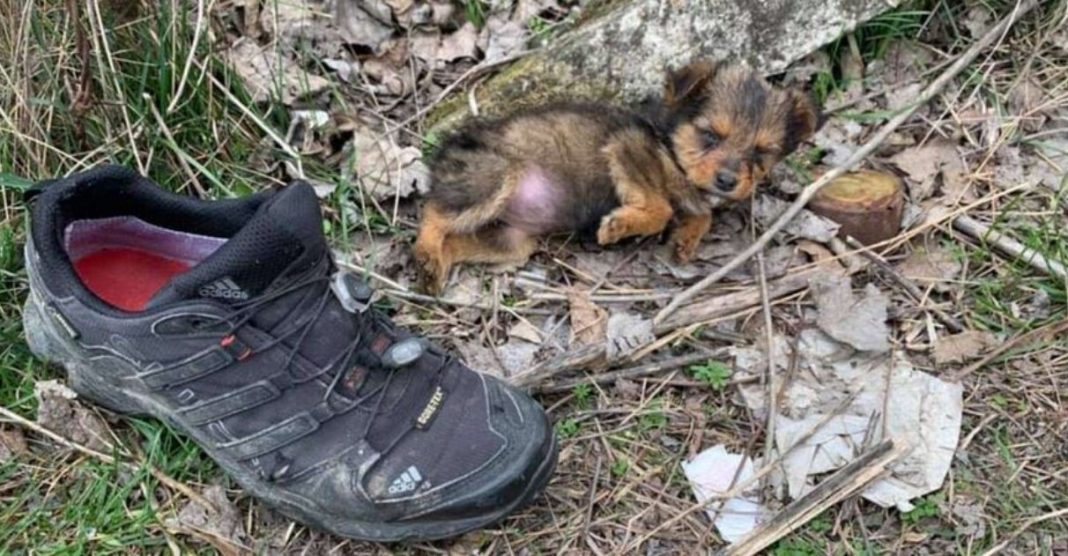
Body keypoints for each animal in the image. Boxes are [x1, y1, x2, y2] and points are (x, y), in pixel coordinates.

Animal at [412, 59, 820, 294]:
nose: (727, 181)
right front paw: (621, 225)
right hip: (494, 177)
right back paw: (427, 253)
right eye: (710, 135)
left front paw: (686, 240)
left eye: (761, 153)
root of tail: (446, 150)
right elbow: (661, 208)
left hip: (510, 241)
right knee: (433, 212)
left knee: (457, 239)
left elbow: (699, 212)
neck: (670, 141)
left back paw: (436, 266)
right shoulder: (628, 150)